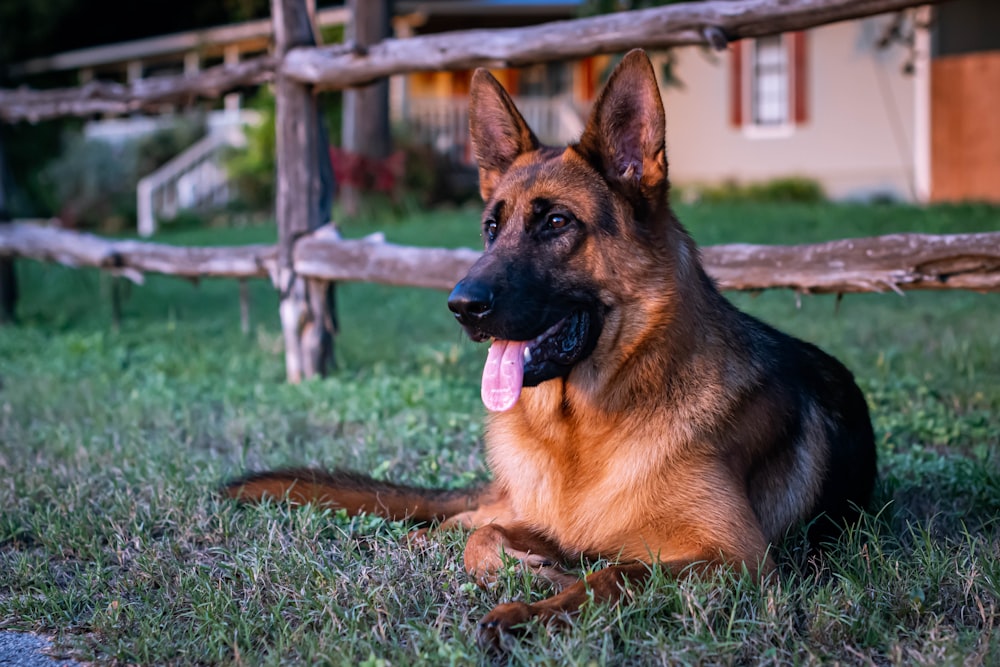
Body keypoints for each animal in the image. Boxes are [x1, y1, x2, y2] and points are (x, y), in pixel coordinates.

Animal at [227, 49, 876, 644]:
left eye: (557, 223)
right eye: (492, 228)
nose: (461, 306)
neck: (581, 432)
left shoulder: (733, 556)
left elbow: (617, 573)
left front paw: (527, 610)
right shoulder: (543, 519)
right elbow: (487, 538)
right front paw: (529, 571)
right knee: (458, 521)